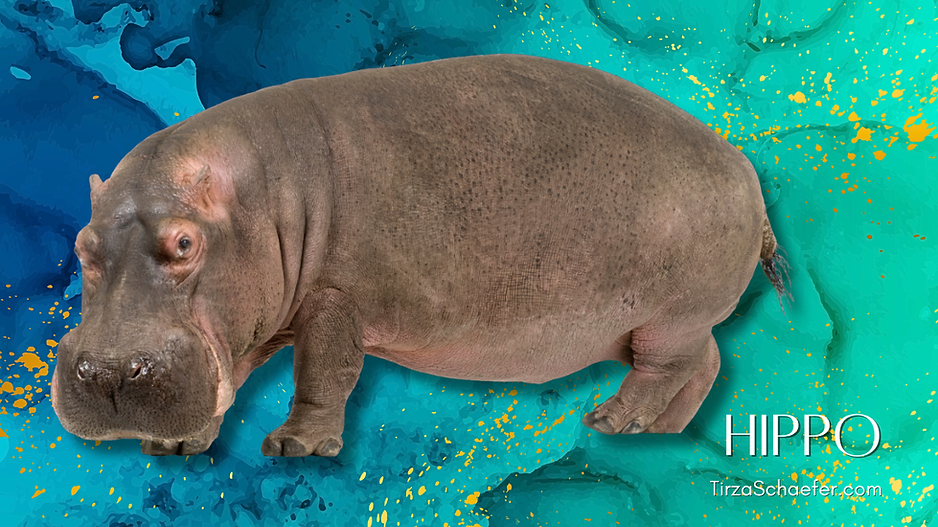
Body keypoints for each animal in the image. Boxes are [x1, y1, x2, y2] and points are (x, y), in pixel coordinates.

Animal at [51, 54, 788, 457]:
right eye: (82, 245)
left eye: (184, 243)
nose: (108, 373)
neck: (253, 197)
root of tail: (743, 167)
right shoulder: (254, 314)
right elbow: (233, 371)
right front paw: (177, 445)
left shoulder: (335, 298)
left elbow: (324, 371)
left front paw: (295, 447)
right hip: (660, 323)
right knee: (706, 364)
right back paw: (659, 435)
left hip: (672, 315)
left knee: (669, 368)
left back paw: (611, 421)